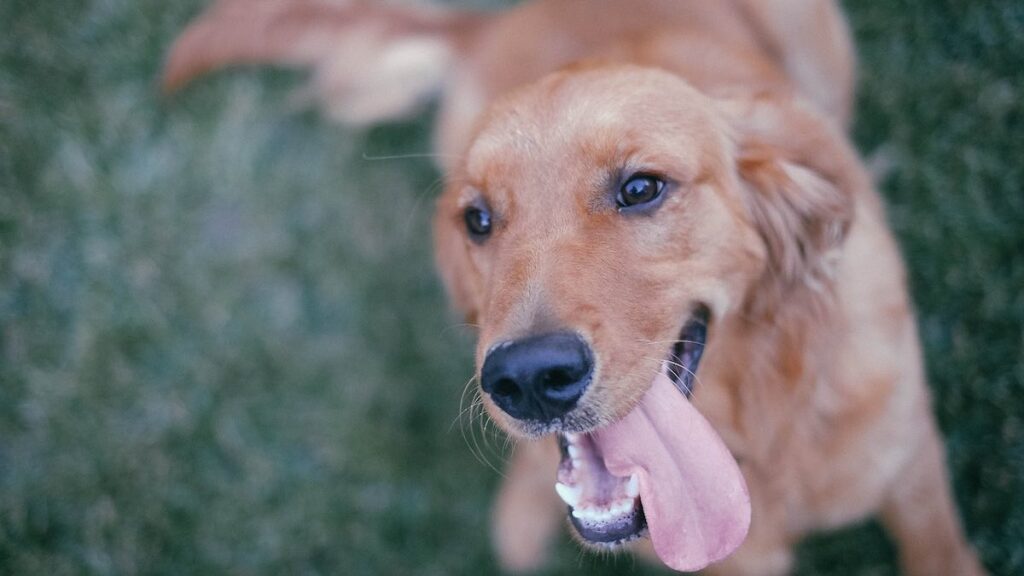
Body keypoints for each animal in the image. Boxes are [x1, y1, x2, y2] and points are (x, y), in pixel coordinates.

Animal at [163, 2, 987, 569]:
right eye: (478, 218)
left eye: (642, 187)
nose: (528, 379)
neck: (758, 427)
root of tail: (489, 22)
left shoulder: (912, 461)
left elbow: (941, 549)